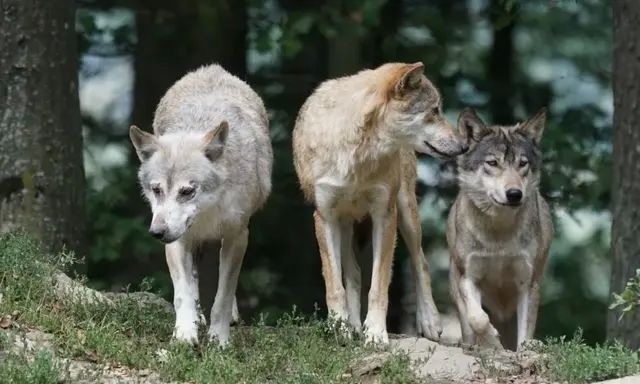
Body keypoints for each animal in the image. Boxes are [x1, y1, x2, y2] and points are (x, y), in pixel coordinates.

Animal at [129, 64, 272, 346]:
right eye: (157, 190)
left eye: (187, 191)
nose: (156, 232)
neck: (207, 213)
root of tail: (211, 68)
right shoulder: (177, 241)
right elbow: (182, 294)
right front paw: (185, 334)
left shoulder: (238, 236)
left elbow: (223, 296)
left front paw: (219, 340)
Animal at [292, 63, 468, 344]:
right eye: (435, 111)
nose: (464, 145)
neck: (357, 154)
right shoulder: (325, 218)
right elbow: (335, 285)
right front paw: (340, 328)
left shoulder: (385, 215)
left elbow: (379, 285)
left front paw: (375, 332)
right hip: (345, 224)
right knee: (353, 273)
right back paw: (353, 326)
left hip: (406, 213)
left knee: (421, 262)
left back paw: (429, 321)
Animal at [448, 107, 552, 352]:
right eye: (493, 163)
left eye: (522, 163)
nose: (514, 194)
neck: (499, 234)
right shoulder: (468, 277)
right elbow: (477, 318)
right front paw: (492, 341)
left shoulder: (528, 283)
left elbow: (525, 334)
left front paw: (524, 350)